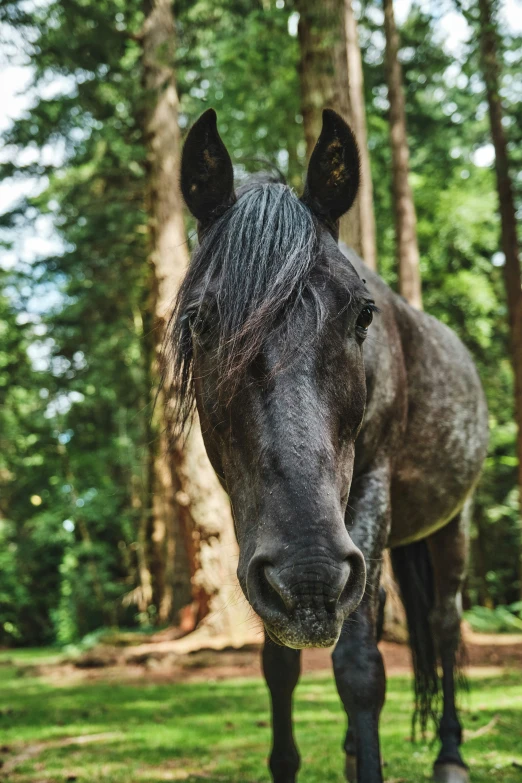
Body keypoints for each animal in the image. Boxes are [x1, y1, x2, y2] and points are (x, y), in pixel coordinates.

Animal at [167, 108, 488, 783]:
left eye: (363, 315)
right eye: (200, 320)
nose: (310, 578)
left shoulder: (368, 493)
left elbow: (360, 666)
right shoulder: (258, 534)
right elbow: (280, 664)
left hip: (451, 524)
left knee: (445, 626)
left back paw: (449, 753)